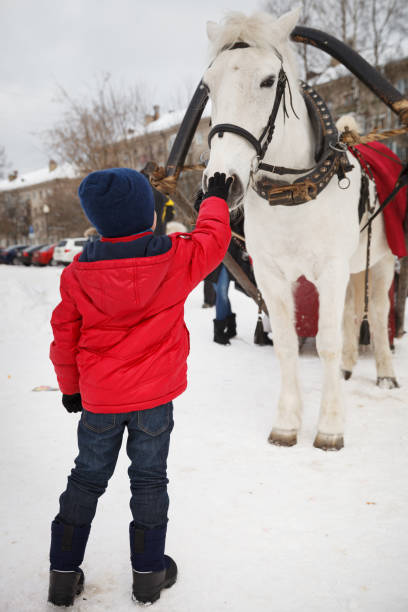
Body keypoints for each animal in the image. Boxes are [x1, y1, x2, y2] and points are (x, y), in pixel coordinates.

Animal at [202, 8, 396, 450]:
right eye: (208, 85)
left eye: (267, 80)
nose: (222, 180)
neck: (292, 192)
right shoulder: (272, 275)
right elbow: (288, 343)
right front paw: (287, 423)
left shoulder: (330, 269)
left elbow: (325, 341)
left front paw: (329, 426)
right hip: (353, 266)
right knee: (350, 311)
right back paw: (347, 369)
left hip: (382, 262)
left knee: (377, 313)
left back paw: (385, 372)